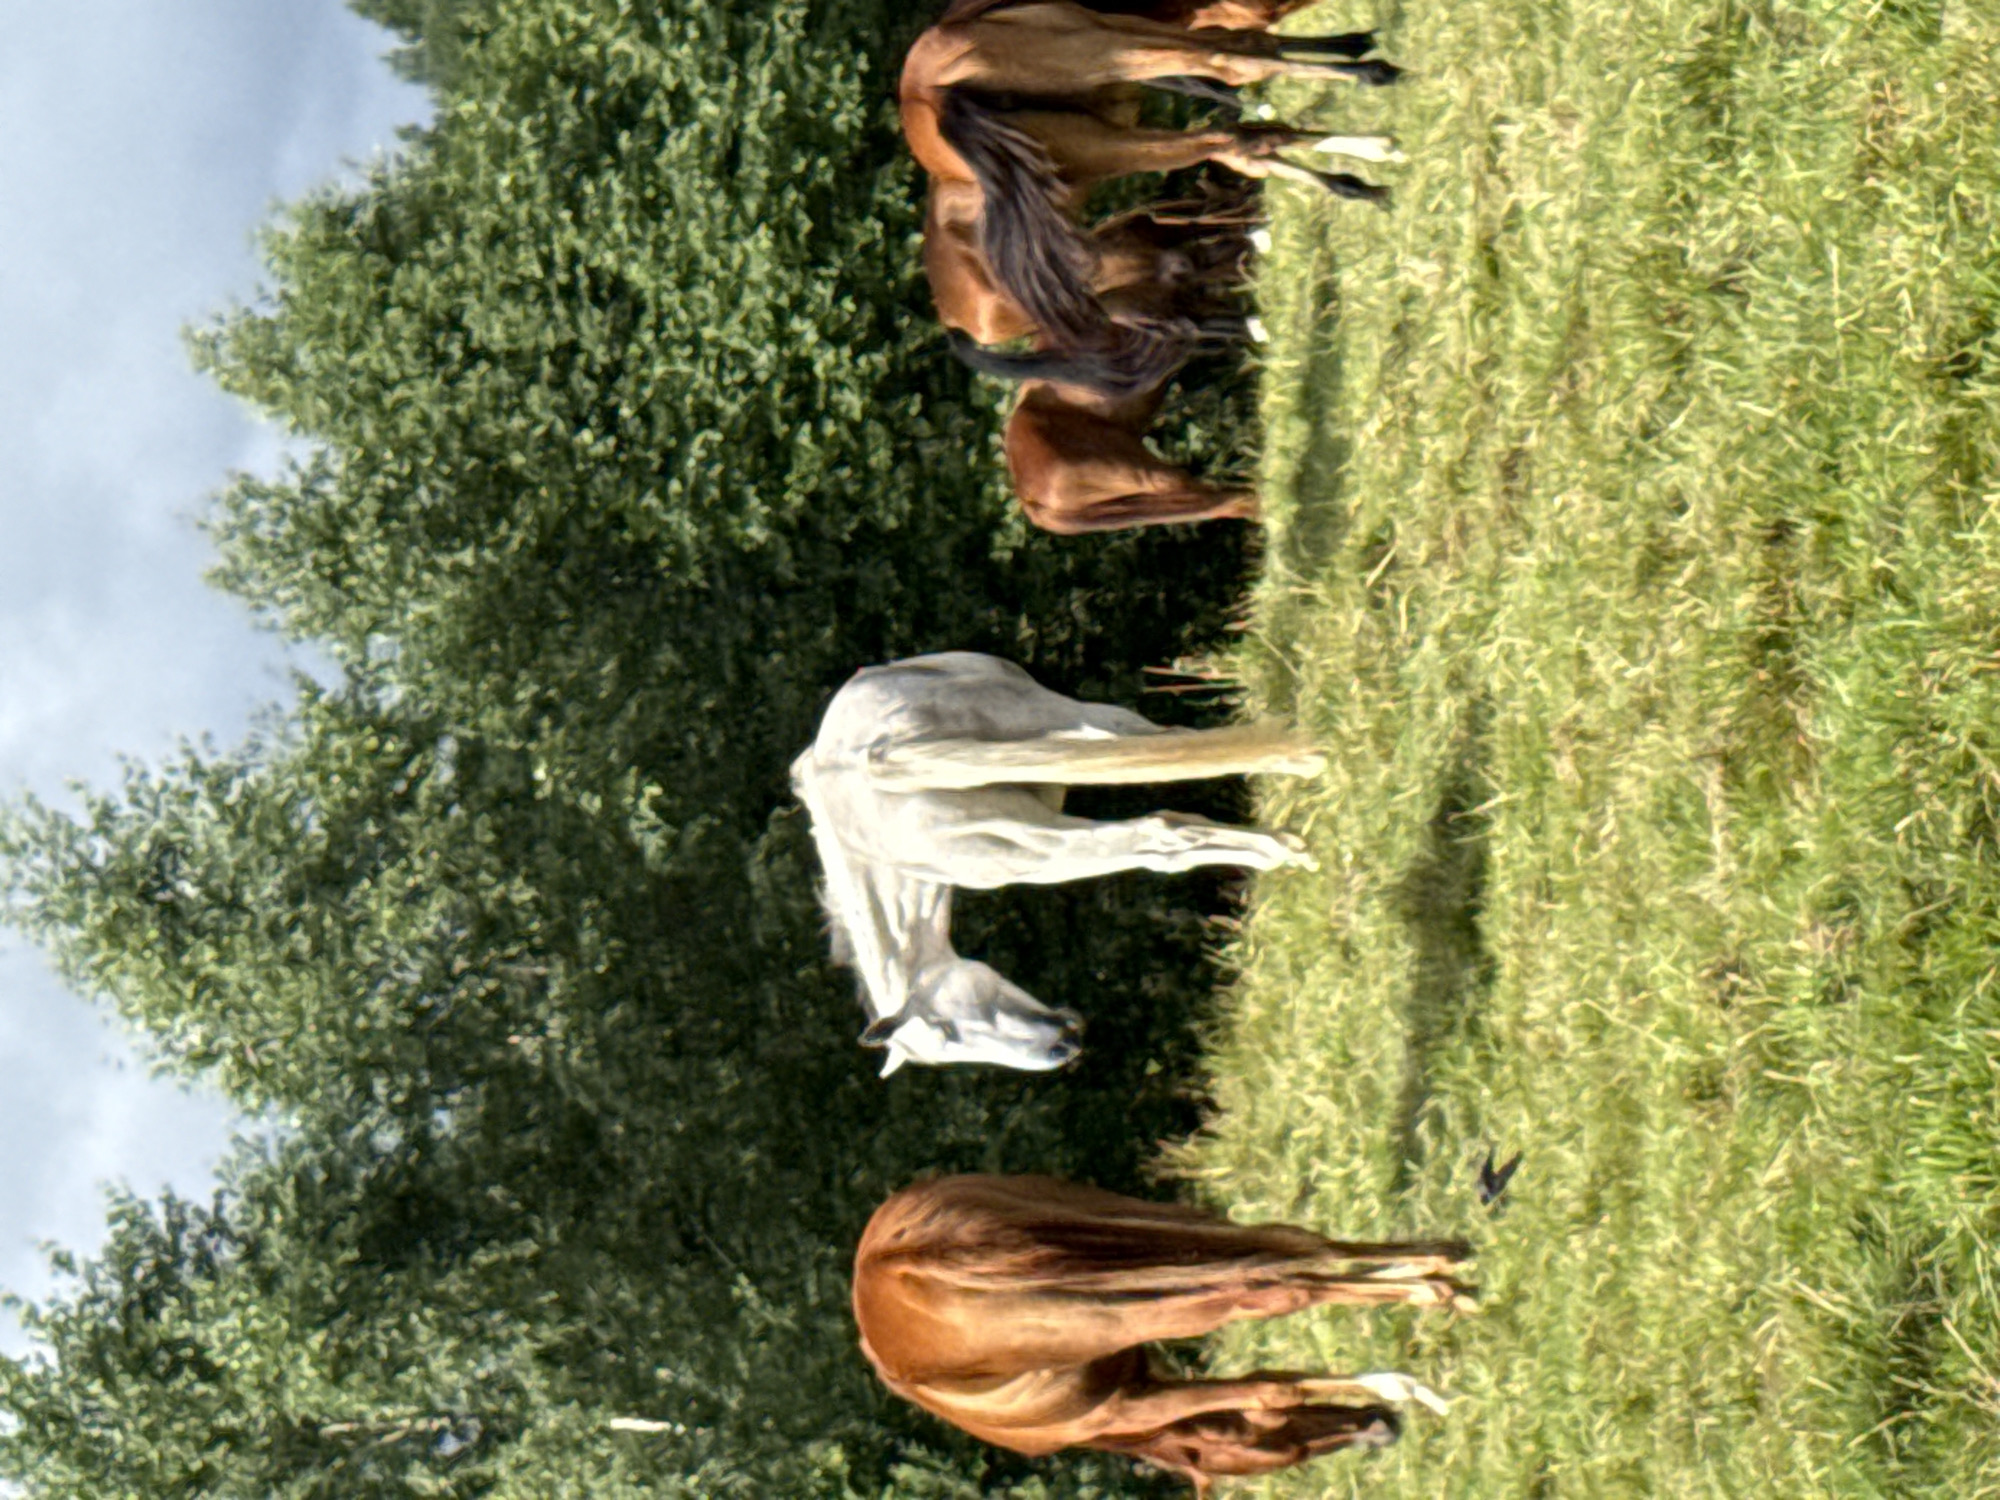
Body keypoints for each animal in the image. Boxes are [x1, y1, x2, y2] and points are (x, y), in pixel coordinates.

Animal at [790, 652, 1322, 1073]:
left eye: (948, 1033)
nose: (1062, 1049)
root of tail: (873, 757)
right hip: (1043, 814)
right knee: (1163, 804)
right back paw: (1289, 796)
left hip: (1042, 818)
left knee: (1158, 826)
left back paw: (1287, 823)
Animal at [853, 1174, 1473, 1492]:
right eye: (1269, 1455)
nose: (1381, 1430)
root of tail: (897, 1263)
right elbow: (1276, 1385)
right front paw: (1402, 1384)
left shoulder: (1136, 1401)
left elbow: (1274, 1388)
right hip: (1149, 1229)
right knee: (1294, 1251)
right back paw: (1441, 1269)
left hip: (1145, 1283)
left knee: (1281, 1279)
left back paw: (1437, 1286)